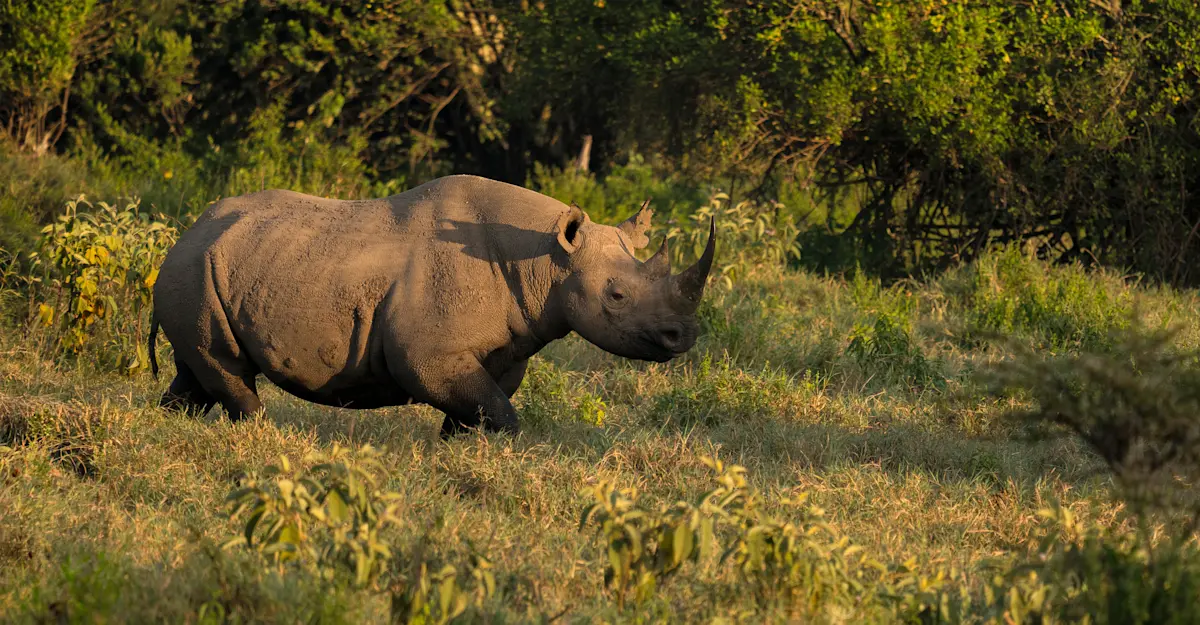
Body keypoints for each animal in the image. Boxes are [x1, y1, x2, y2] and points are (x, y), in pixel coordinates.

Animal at [148, 174, 715, 437]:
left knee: (196, 370)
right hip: (193, 271)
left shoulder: (507, 349)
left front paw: (461, 453)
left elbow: (482, 408)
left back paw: (169, 424)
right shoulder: (429, 354)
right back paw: (260, 433)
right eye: (617, 296)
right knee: (225, 367)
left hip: (205, 271)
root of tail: (185, 233)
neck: (546, 260)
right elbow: (498, 412)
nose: (682, 338)